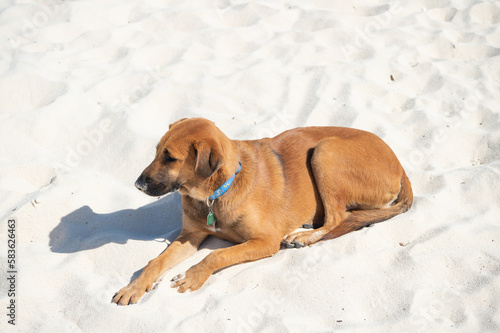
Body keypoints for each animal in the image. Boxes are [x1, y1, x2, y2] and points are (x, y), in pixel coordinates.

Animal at [111, 116, 412, 304]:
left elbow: (216, 255)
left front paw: (193, 275)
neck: (215, 194)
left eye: (170, 158)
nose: (137, 185)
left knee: (338, 218)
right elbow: (156, 262)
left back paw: (302, 236)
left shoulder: (265, 241)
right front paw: (134, 287)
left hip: (325, 151)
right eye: (156, 152)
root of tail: (400, 165)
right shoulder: (191, 235)